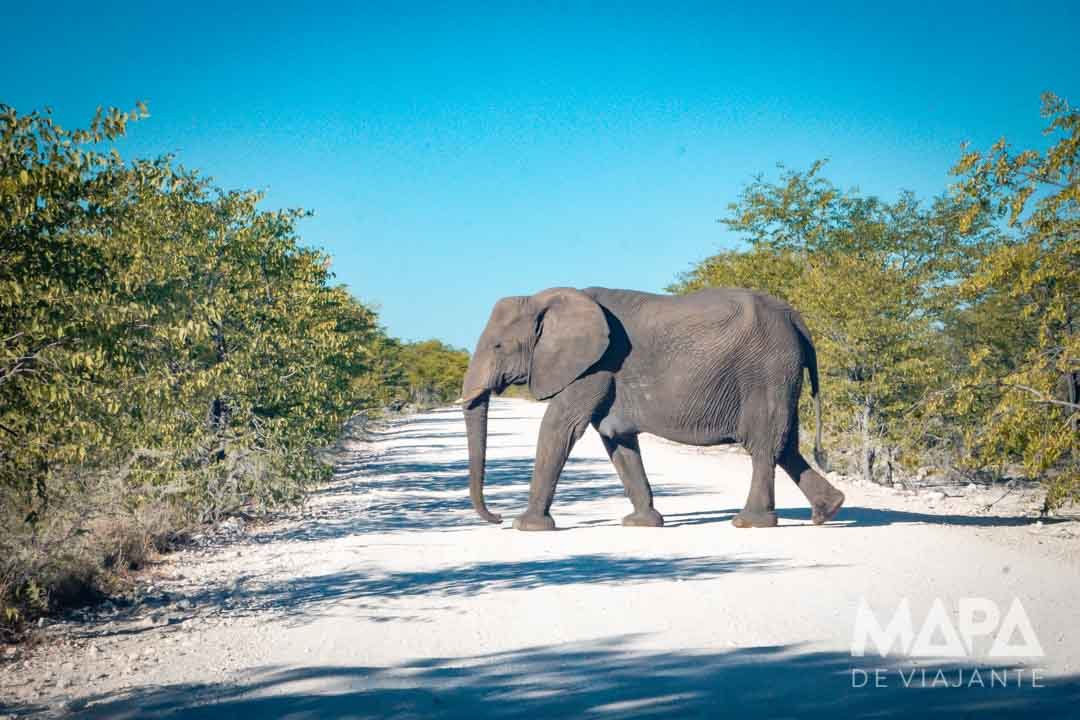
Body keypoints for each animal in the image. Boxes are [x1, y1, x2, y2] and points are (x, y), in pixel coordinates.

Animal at [460, 286, 845, 531]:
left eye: (498, 346)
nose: (496, 518)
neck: (546, 298)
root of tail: (795, 318)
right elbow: (617, 439)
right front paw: (641, 524)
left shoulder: (597, 364)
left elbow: (560, 426)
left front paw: (525, 526)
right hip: (779, 374)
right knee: (786, 446)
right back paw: (829, 511)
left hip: (766, 370)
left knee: (764, 445)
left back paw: (749, 522)